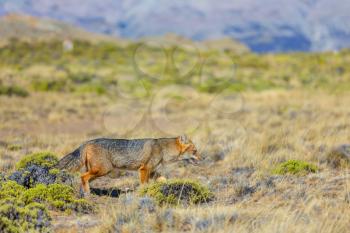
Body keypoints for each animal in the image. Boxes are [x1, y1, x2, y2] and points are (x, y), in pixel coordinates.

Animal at [56, 136, 200, 196]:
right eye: (195, 151)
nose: (202, 159)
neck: (163, 149)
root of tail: (87, 142)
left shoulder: (152, 171)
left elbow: (164, 180)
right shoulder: (144, 169)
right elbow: (144, 185)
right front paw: (144, 194)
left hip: (98, 171)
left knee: (83, 179)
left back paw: (83, 193)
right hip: (103, 170)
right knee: (83, 177)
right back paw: (87, 194)